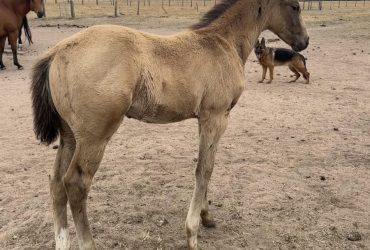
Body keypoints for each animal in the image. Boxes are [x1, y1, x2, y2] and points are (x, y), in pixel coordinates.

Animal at [31, 0, 306, 249]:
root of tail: (59, 51)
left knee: (56, 183)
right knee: (76, 184)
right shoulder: (217, 117)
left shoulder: (204, 120)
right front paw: (192, 233)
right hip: (95, 136)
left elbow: (206, 164)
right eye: (295, 6)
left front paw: (207, 217)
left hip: (70, 136)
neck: (222, 42)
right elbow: (205, 169)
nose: (305, 41)